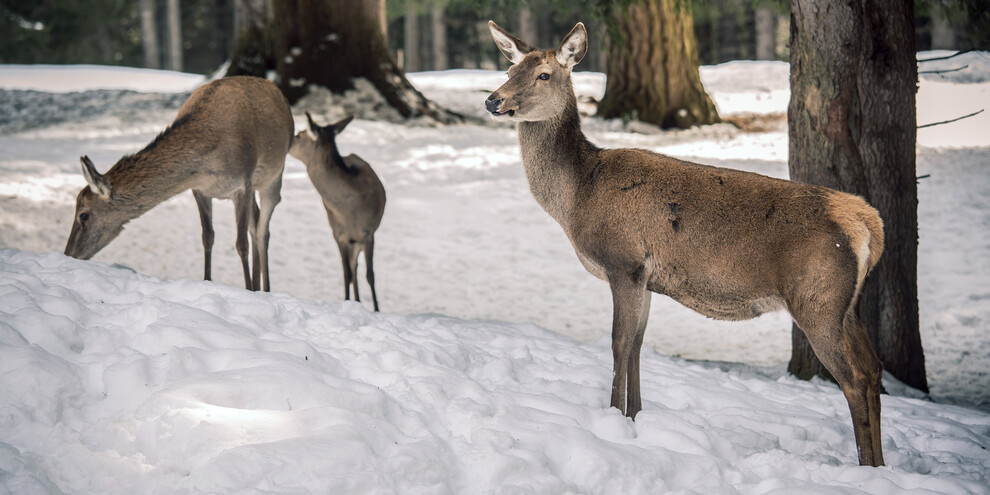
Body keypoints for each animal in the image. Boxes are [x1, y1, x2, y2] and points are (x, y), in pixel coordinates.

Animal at [63, 76, 290, 292]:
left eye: (83, 215)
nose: (68, 254)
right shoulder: (200, 189)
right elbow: (207, 237)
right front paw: (207, 280)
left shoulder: (243, 185)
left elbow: (241, 244)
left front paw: (248, 289)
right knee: (255, 221)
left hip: (273, 177)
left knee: (263, 230)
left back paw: (264, 289)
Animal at [288, 114, 386, 312]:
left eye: (300, 135)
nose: (289, 141)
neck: (349, 211)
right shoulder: (338, 235)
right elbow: (346, 274)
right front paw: (347, 302)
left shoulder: (368, 234)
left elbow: (370, 275)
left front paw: (377, 309)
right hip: (350, 241)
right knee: (352, 269)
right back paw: (356, 301)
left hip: (358, 241)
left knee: (358, 269)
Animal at [490, 20, 892, 468]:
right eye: (509, 70)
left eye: (544, 75)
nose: (493, 99)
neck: (577, 197)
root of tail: (869, 224)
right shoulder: (645, 276)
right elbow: (638, 345)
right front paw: (635, 417)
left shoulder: (623, 261)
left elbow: (618, 344)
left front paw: (612, 419)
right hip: (848, 305)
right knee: (874, 369)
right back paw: (881, 462)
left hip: (816, 298)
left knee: (853, 378)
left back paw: (868, 466)